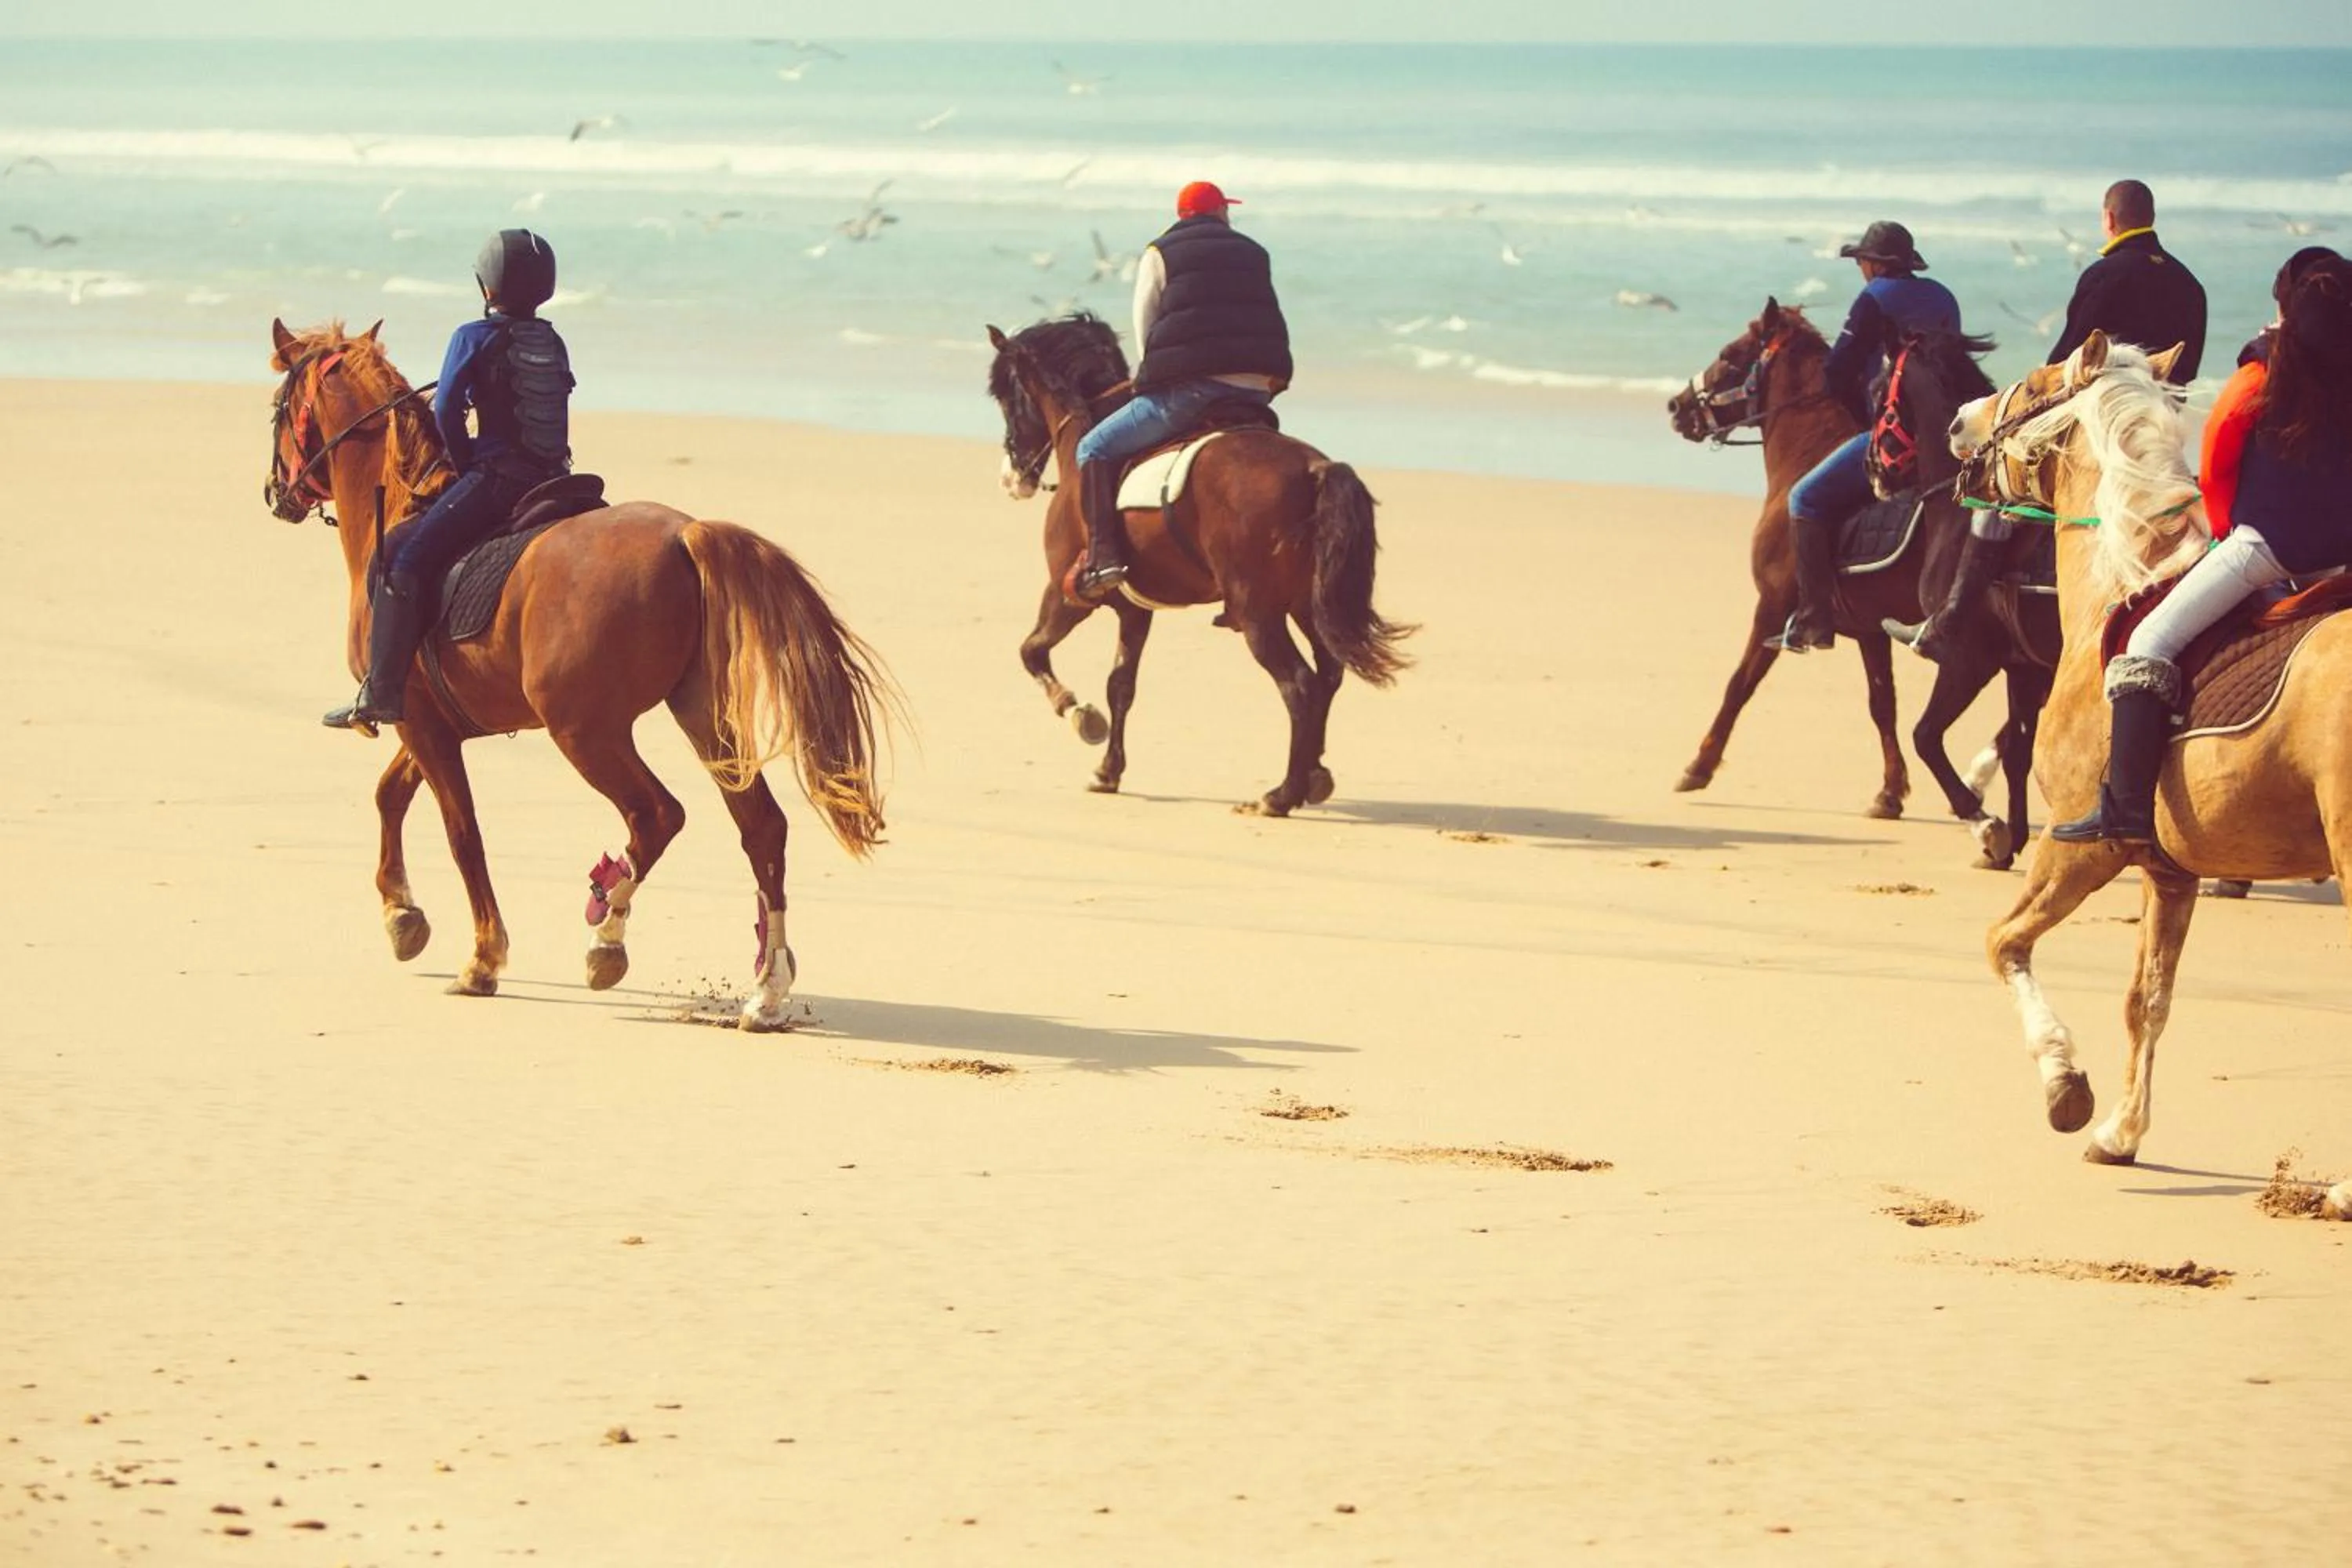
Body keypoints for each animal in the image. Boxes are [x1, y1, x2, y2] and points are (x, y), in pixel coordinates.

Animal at [265, 319, 891, 1030]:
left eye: (278, 407)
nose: (275, 493)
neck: (400, 505)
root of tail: (685, 535)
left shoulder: (420, 721)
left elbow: (461, 833)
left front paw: (482, 959)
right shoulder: (433, 721)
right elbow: (391, 796)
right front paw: (403, 916)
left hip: (587, 732)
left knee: (657, 815)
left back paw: (606, 935)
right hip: (704, 718)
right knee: (762, 828)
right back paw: (766, 991)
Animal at [983, 314, 1413, 815]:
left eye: (1005, 395)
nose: (1013, 478)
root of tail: (1316, 470)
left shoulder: (1067, 595)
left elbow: (1032, 652)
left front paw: (1079, 714)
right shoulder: (1134, 609)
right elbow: (1120, 685)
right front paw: (1108, 770)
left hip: (1258, 614)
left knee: (1300, 686)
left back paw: (1280, 794)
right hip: (1306, 605)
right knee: (1328, 675)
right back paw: (1314, 777)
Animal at [1666, 300, 2026, 863]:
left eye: (1729, 355)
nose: (1677, 405)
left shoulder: (1772, 608)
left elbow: (1739, 685)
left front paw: (1698, 766)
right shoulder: (1870, 631)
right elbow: (1883, 706)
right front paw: (1890, 792)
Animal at [1951, 329, 2351, 1216]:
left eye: (2035, 383)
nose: (1960, 421)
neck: (2123, 587)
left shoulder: (2080, 846)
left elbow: (2004, 943)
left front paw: (2066, 1088)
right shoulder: (2169, 871)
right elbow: (2149, 1000)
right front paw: (2120, 1134)